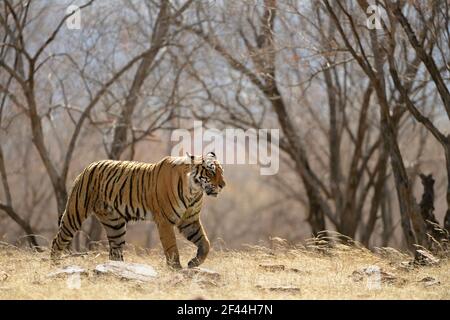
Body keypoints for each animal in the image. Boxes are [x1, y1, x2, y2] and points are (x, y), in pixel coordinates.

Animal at [50, 151, 225, 268]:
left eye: (221, 171)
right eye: (211, 172)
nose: (223, 185)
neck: (194, 191)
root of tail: (89, 166)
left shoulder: (189, 220)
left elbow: (205, 243)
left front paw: (194, 263)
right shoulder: (165, 221)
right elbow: (172, 248)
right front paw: (176, 269)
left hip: (115, 225)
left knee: (115, 251)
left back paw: (117, 271)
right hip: (75, 213)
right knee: (57, 241)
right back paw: (54, 266)